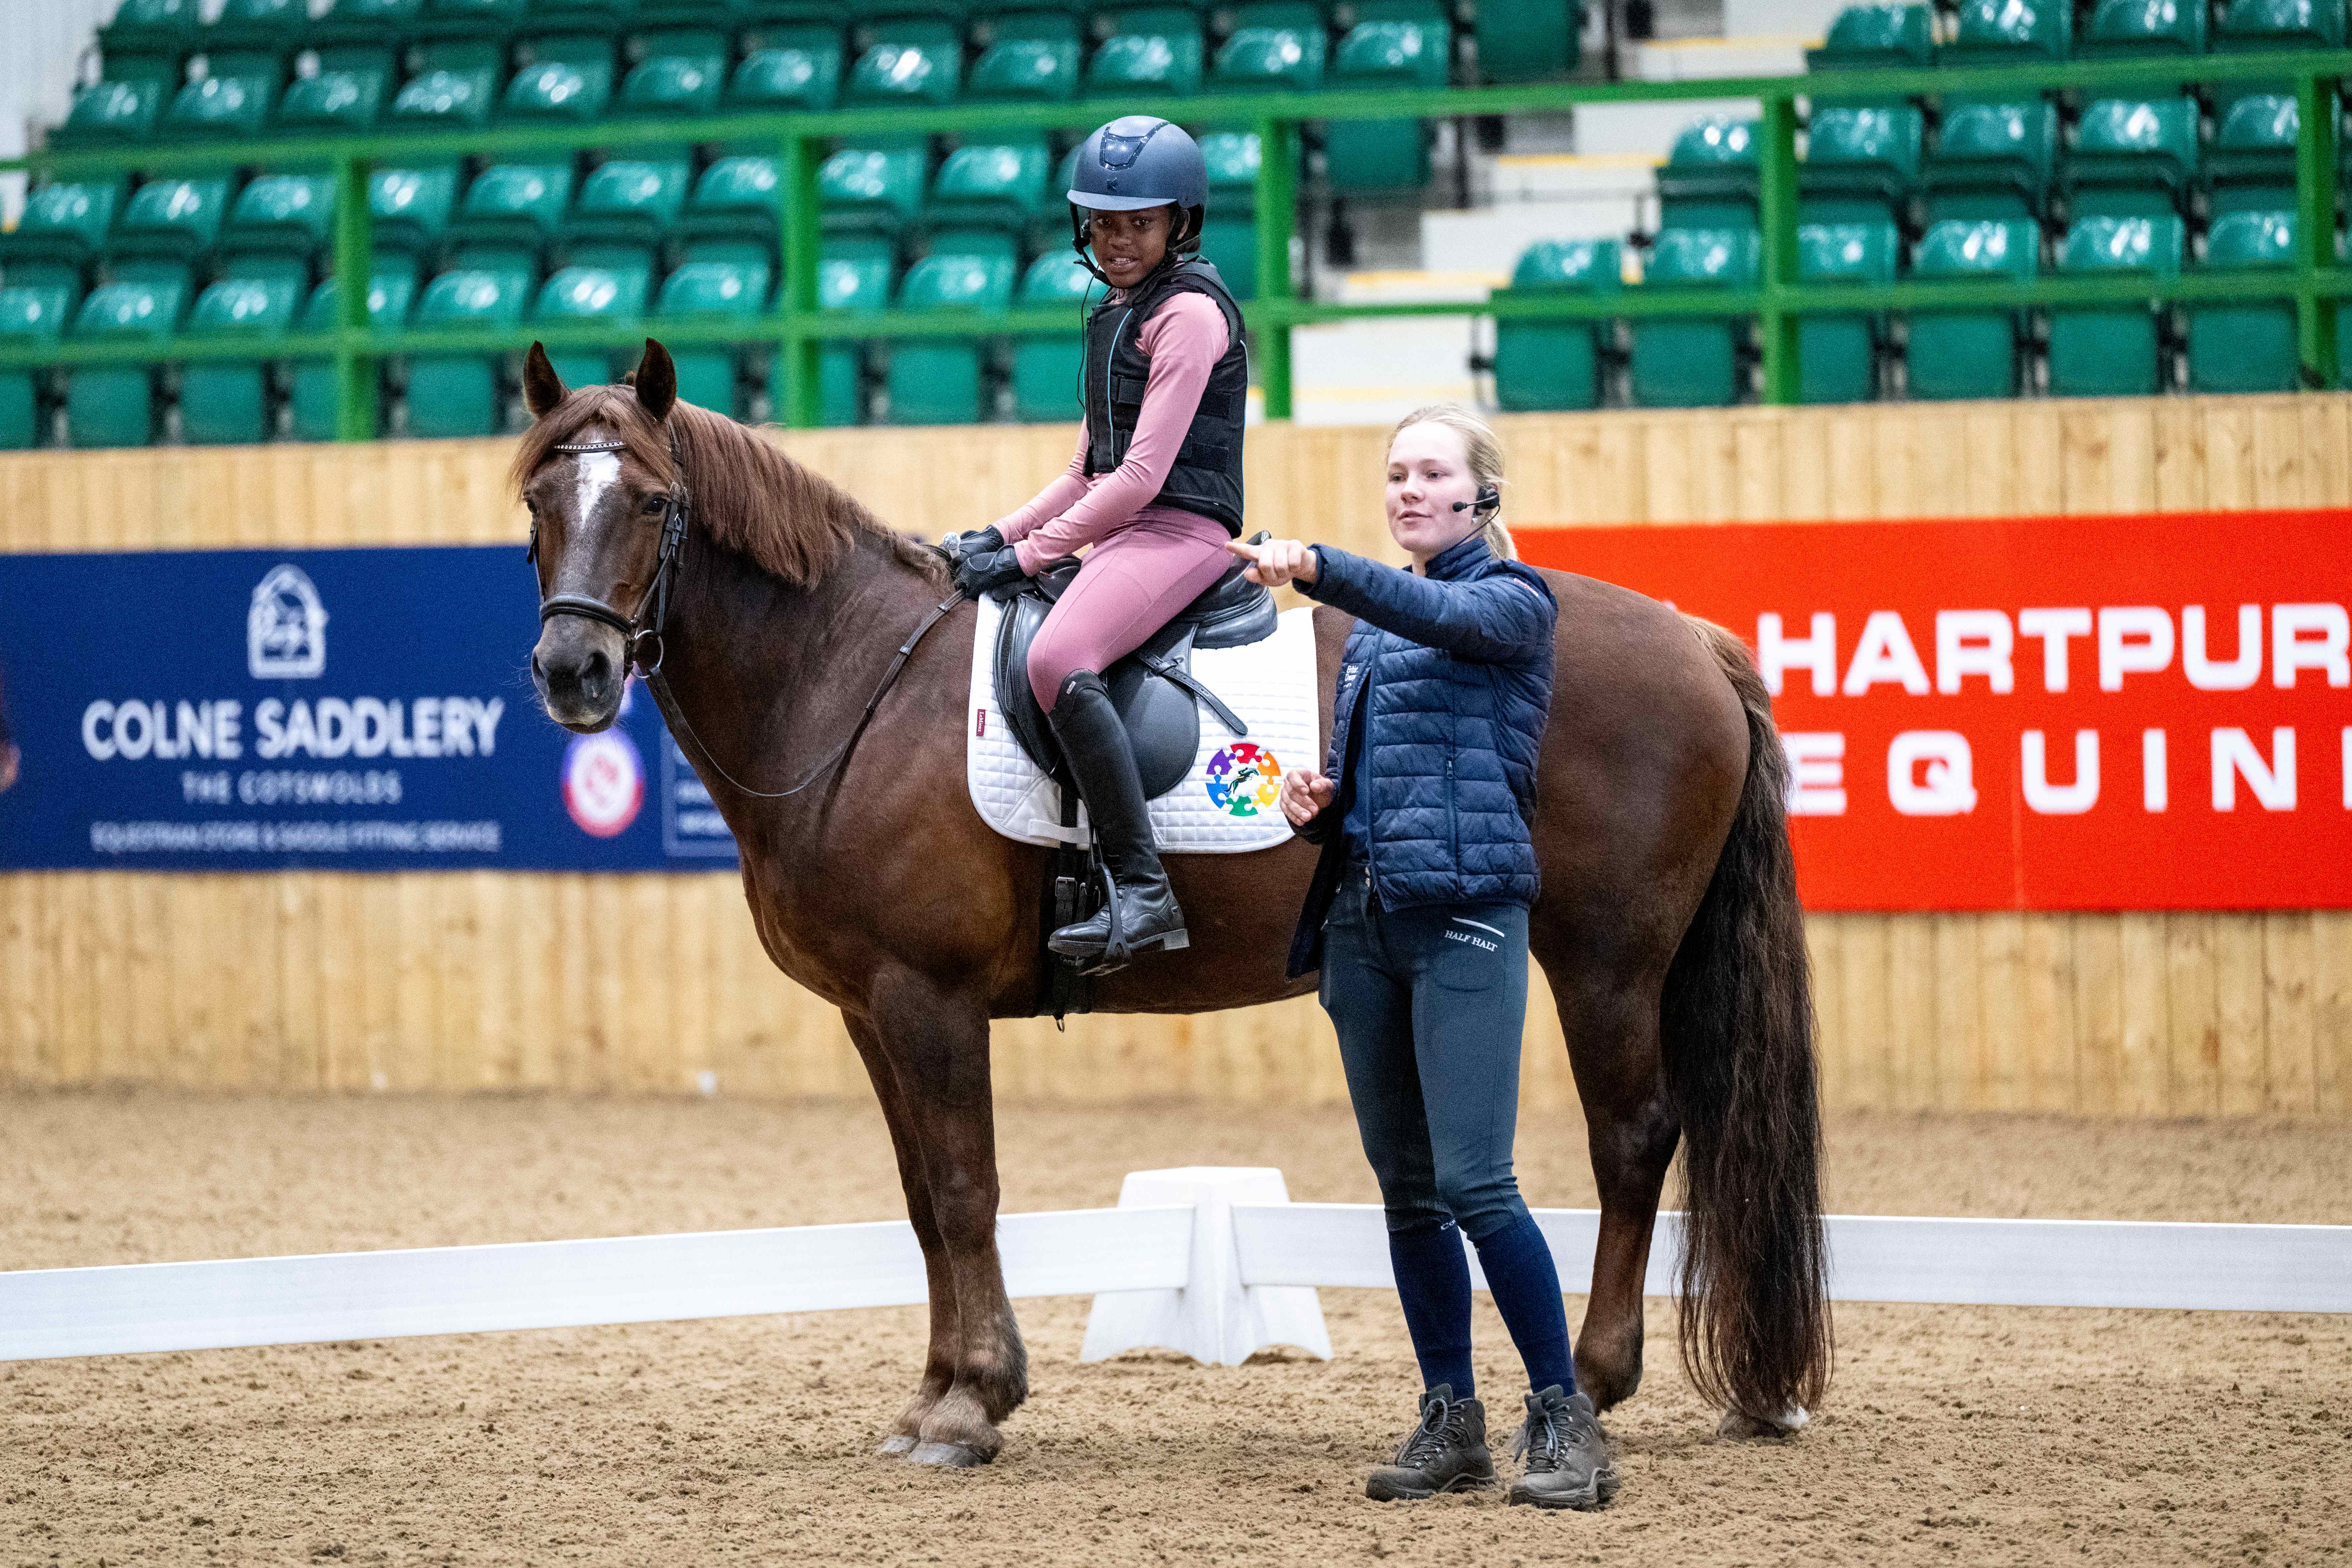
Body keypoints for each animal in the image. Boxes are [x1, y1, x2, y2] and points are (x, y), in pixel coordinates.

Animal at [517, 340, 1831, 1468]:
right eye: (538, 502)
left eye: (650, 502)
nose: (572, 674)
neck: (850, 679)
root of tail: (1693, 640)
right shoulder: (869, 1010)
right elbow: (923, 1202)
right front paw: (935, 1393)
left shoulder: (926, 997)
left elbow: (966, 1188)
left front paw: (971, 1403)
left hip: (1606, 960)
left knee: (1634, 1134)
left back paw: (1592, 1382)